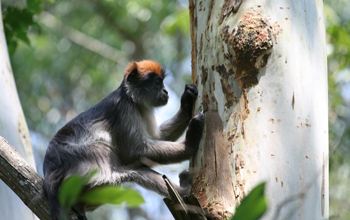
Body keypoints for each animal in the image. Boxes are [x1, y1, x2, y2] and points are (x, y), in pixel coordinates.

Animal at [43, 60, 205, 220]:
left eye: (162, 83)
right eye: (158, 83)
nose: (165, 91)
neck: (130, 96)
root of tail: (50, 171)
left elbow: (156, 138)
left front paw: (186, 103)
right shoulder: (123, 108)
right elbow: (133, 154)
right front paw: (190, 143)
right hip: (85, 165)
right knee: (133, 171)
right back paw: (185, 191)